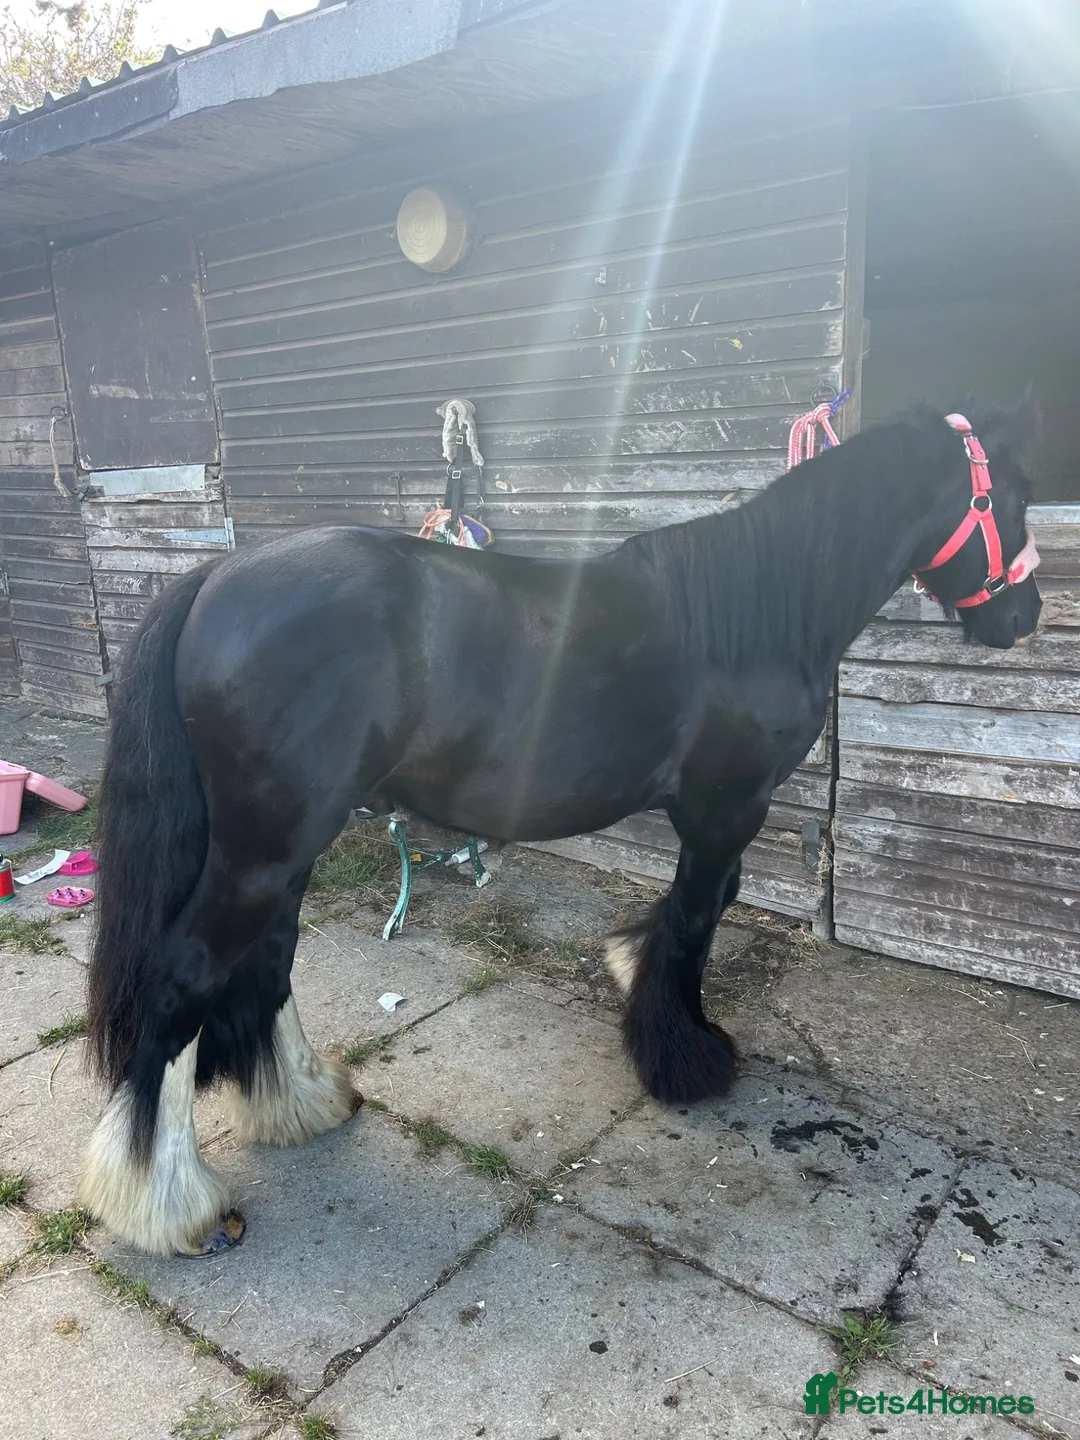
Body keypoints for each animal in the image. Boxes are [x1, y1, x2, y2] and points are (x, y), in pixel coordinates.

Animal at [79, 399, 1042, 1256]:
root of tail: (215, 579)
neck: (751, 612)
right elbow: (700, 918)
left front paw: (632, 972)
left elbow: (688, 910)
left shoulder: (711, 814)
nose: (1024, 616)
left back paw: (300, 1104)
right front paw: (684, 1057)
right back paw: (168, 1203)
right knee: (187, 976)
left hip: (282, 849)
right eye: (1015, 494)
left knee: (265, 967)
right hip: (264, 851)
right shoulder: (728, 806)